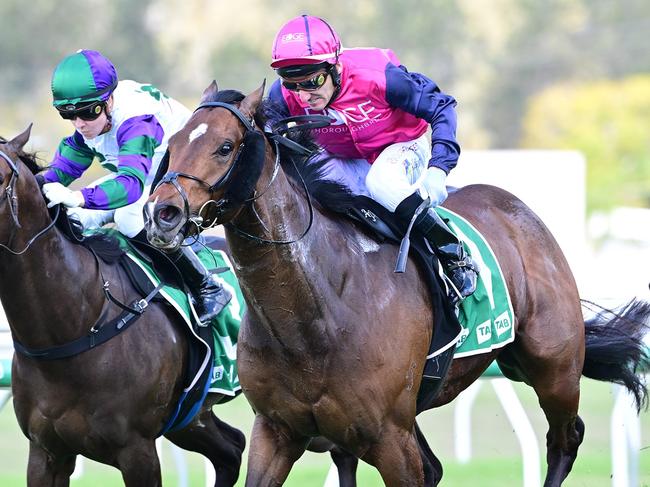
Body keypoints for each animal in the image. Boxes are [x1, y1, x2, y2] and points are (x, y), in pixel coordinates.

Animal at [144, 82, 644, 486]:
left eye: (225, 146)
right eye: (172, 143)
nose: (162, 213)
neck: (313, 312)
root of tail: (517, 208)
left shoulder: (389, 438)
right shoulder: (276, 431)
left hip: (553, 367)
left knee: (565, 441)